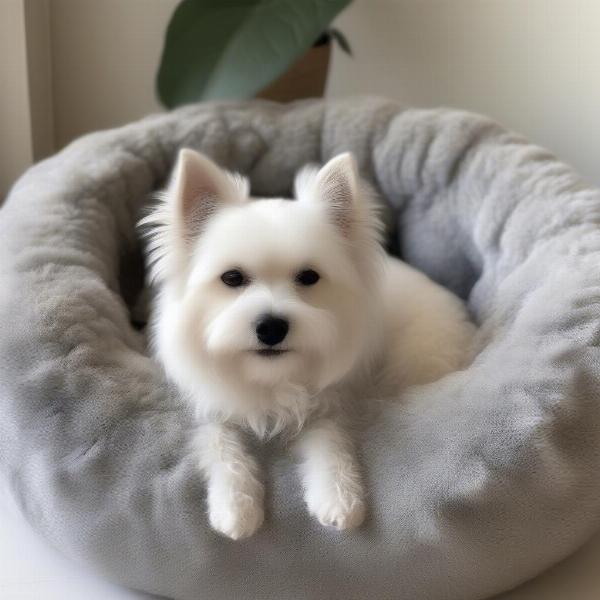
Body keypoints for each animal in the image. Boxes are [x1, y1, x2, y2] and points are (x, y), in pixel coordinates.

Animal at [139, 149, 474, 540]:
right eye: (232, 278)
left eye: (309, 277)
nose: (271, 326)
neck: (270, 376)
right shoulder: (208, 408)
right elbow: (221, 444)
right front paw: (236, 508)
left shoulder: (329, 403)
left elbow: (331, 444)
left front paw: (340, 498)